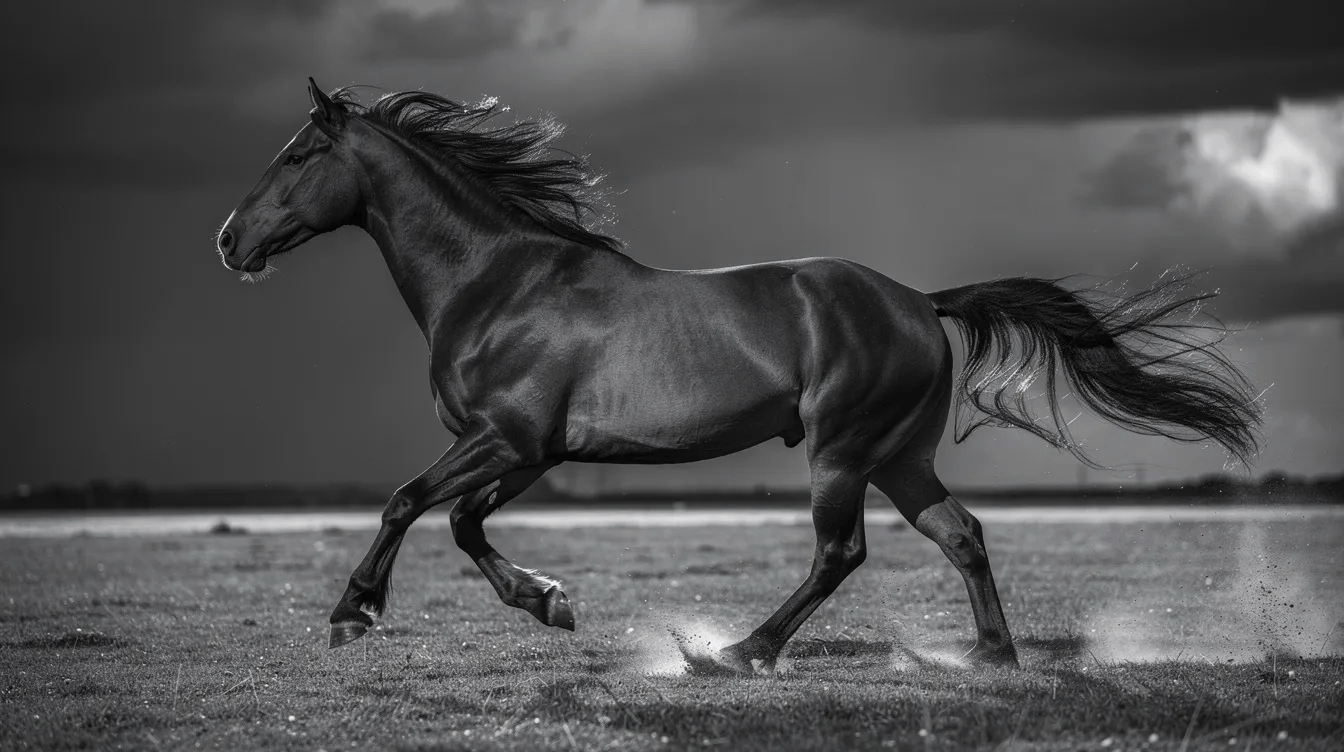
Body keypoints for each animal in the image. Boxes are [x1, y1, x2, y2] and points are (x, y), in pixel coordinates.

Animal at [216, 79, 1261, 672]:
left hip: (842, 450)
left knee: (842, 553)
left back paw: (741, 650)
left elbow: (406, 500)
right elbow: (466, 524)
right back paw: (992, 657)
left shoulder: (505, 438)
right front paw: (549, 602)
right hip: (900, 456)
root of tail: (920, 301)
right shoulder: (529, 450)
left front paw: (352, 614)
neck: (498, 281)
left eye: (298, 154)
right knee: (960, 533)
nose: (228, 240)